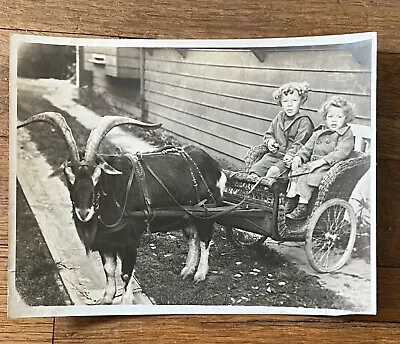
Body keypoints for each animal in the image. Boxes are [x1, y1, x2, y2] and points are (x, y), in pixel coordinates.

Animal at [18, 113, 227, 304]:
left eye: (97, 174)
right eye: (68, 174)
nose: (84, 213)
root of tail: (215, 165)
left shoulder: (130, 239)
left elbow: (126, 272)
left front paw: (126, 301)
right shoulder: (106, 241)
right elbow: (109, 269)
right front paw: (107, 297)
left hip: (207, 212)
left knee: (205, 241)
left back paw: (199, 274)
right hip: (189, 215)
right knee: (193, 239)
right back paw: (187, 270)